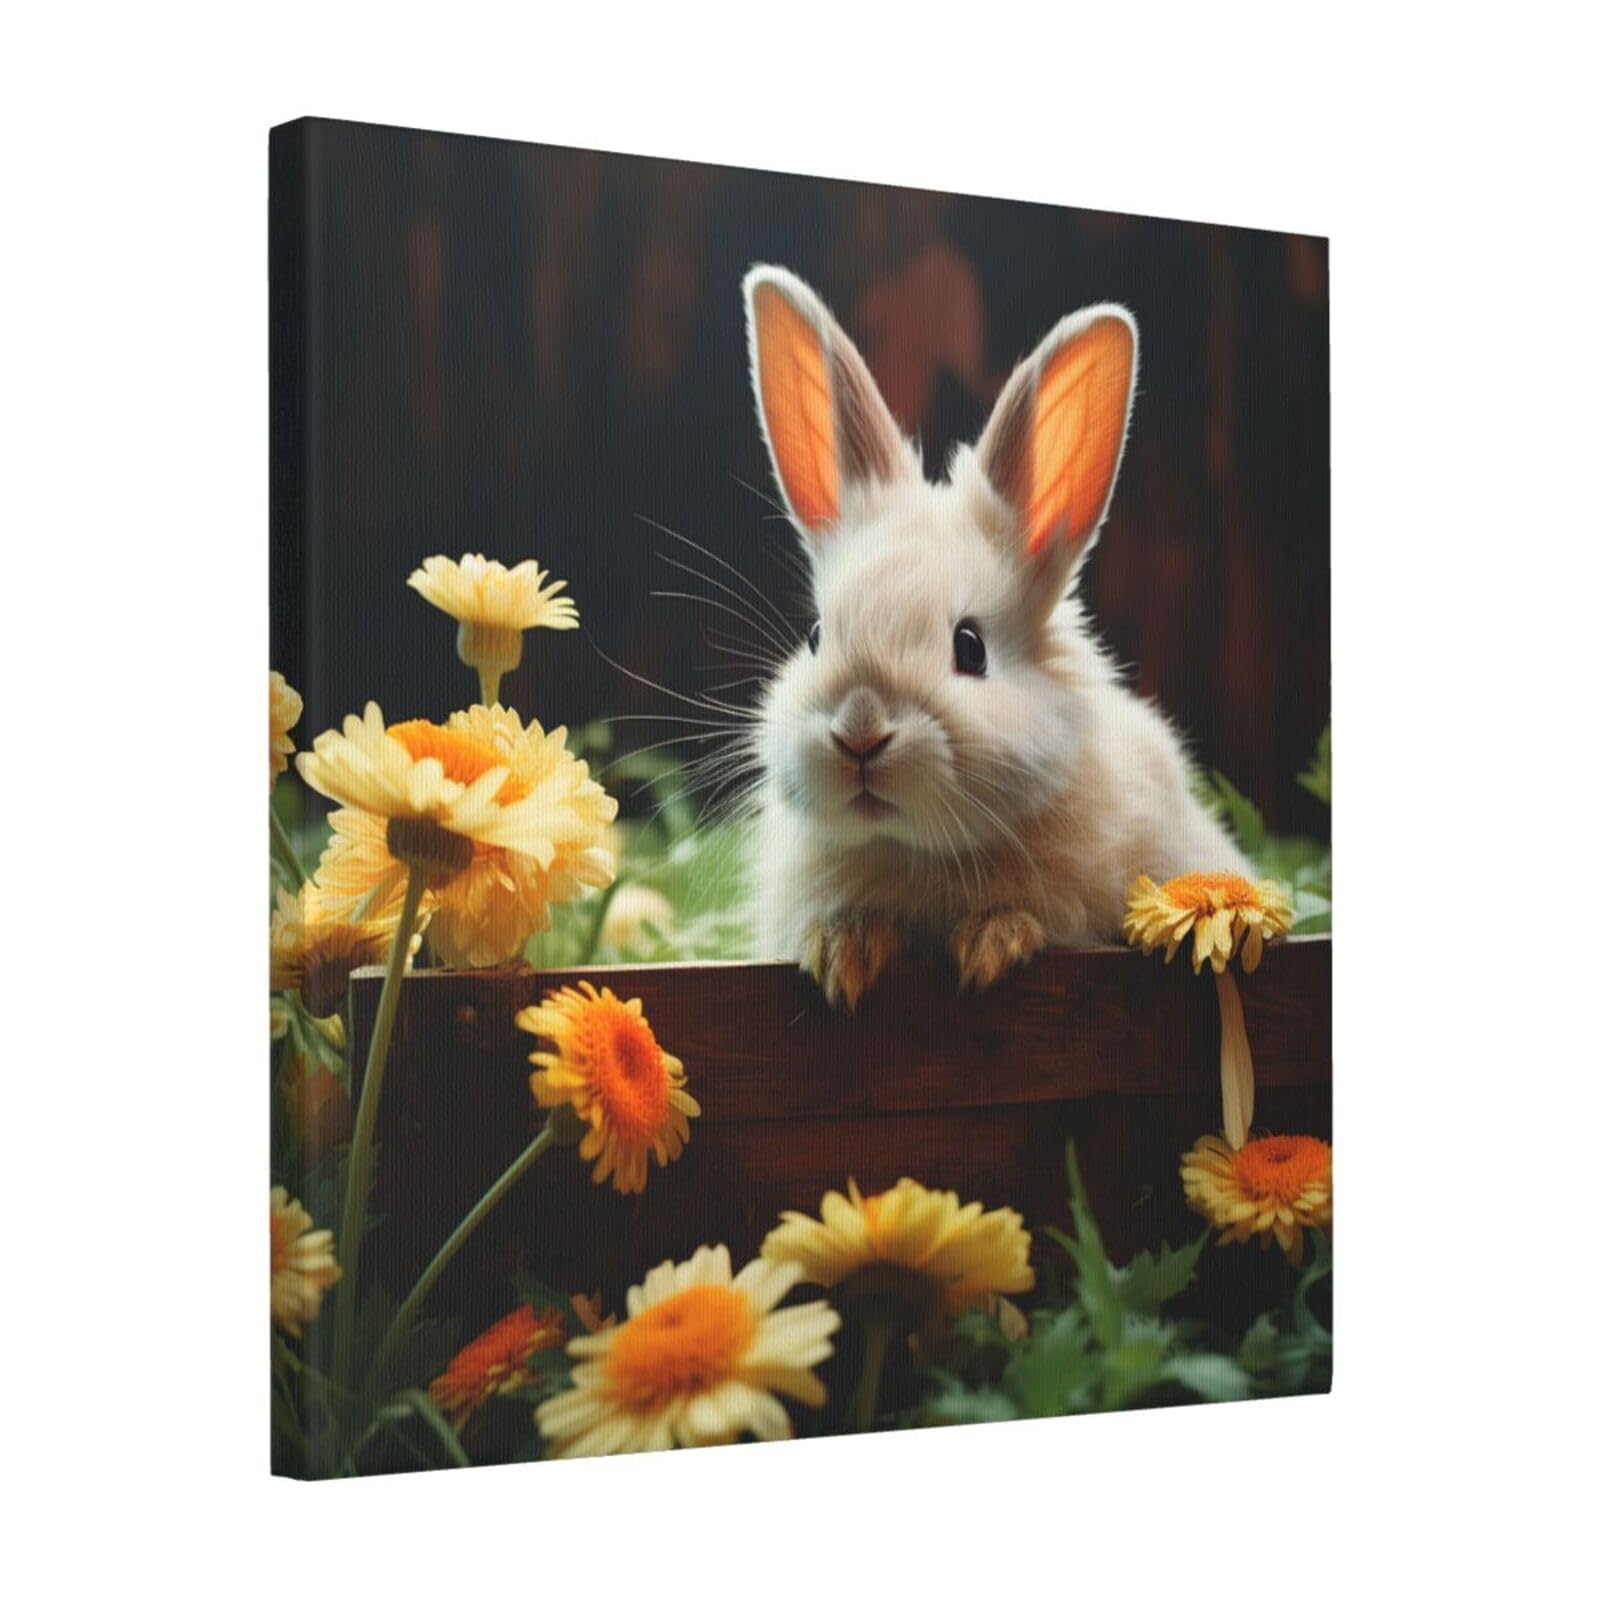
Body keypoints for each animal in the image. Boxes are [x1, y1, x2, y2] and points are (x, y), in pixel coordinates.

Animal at [741, 265, 1251, 1009]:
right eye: (814, 636)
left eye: (970, 647)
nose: (859, 734)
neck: (918, 850)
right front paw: (841, 954)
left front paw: (991, 943)